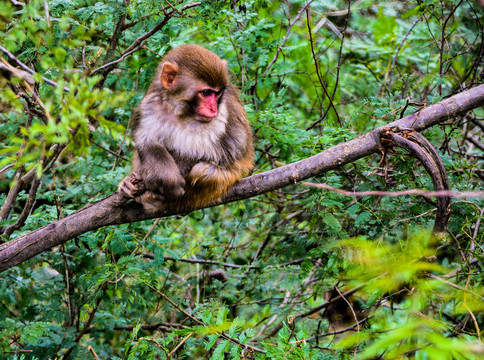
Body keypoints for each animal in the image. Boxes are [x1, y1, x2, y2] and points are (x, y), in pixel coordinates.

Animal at [118, 44, 253, 211]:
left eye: (218, 93)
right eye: (206, 93)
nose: (213, 109)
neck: (181, 111)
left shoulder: (225, 112)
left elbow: (227, 153)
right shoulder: (150, 105)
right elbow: (147, 140)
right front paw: (164, 176)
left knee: (203, 172)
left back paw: (154, 198)